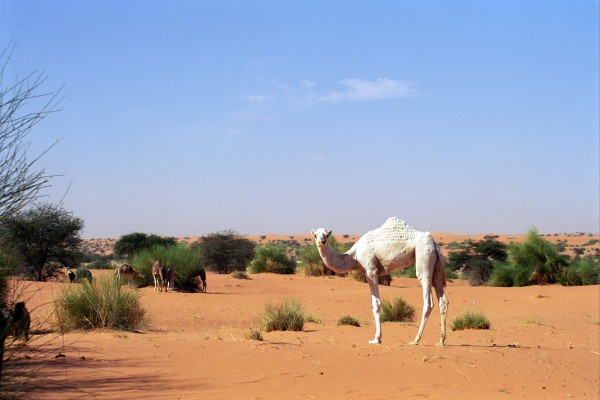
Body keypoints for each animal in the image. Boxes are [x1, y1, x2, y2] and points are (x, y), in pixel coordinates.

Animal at [312, 217, 448, 346]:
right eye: (315, 235)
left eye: (326, 234)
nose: (322, 240)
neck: (353, 257)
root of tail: (434, 244)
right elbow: (374, 305)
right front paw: (377, 337)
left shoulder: (370, 270)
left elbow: (376, 303)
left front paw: (376, 339)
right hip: (435, 264)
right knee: (442, 299)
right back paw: (441, 341)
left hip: (424, 256)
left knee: (427, 299)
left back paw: (416, 340)